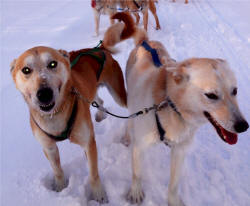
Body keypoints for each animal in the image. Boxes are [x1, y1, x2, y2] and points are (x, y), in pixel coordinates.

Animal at [10, 14, 137, 204]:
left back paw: (127, 135)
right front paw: (60, 188)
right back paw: (100, 114)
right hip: (92, 93)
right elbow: (57, 170)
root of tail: (99, 49)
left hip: (118, 94)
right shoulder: (49, 147)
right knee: (98, 100)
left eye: (52, 64)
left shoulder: (88, 143)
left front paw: (99, 195)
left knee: (129, 112)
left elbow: (93, 174)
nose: (44, 93)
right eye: (26, 70)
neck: (55, 116)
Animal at [101, 12, 248, 206]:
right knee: (129, 121)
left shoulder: (180, 151)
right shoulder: (140, 146)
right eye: (211, 95)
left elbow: (173, 184)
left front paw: (173, 201)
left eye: (235, 91)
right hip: (131, 102)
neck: (171, 105)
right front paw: (136, 191)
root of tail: (145, 41)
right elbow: (137, 173)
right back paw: (126, 136)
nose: (243, 126)